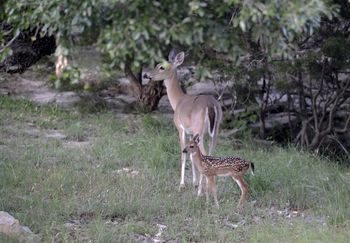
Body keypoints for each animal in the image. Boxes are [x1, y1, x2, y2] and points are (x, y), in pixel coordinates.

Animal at [144, 49, 221, 194]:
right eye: (157, 64)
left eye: (162, 67)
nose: (147, 75)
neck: (178, 101)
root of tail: (211, 105)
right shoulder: (191, 133)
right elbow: (191, 155)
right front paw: (194, 183)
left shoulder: (181, 128)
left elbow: (183, 154)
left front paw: (182, 185)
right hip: (215, 130)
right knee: (211, 153)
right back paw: (209, 187)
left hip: (200, 129)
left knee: (204, 154)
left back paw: (202, 191)